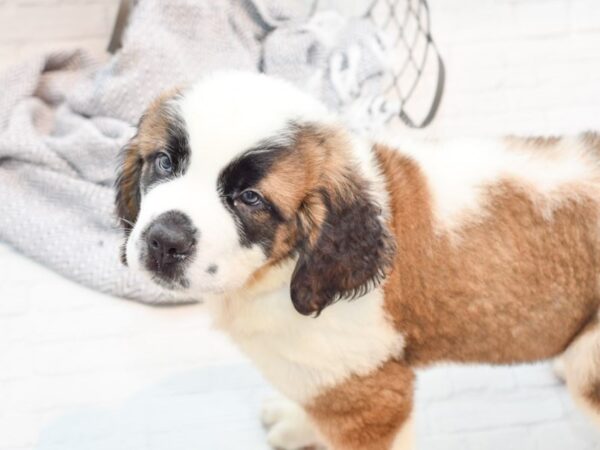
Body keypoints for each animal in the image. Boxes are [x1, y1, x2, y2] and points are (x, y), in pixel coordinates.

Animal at [116, 71, 600, 450]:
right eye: (164, 162)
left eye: (250, 199)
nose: (164, 241)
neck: (287, 268)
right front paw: (299, 424)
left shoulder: (373, 398)